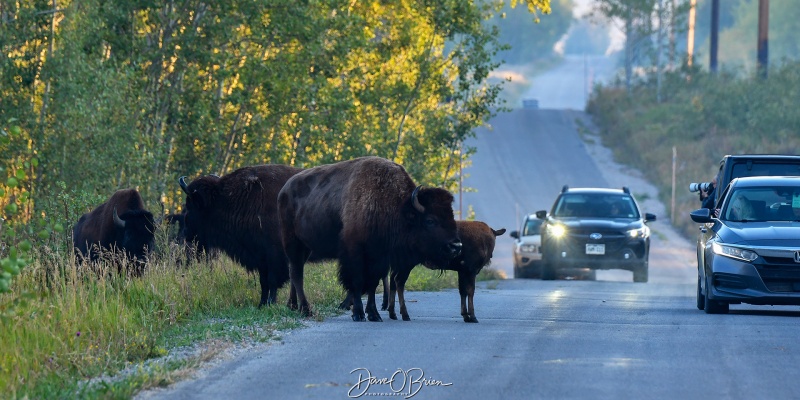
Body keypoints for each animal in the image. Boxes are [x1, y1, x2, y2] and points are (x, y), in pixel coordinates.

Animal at [179, 166, 304, 306]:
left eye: (190, 205)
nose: (185, 232)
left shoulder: (274, 256)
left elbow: (272, 280)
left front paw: (271, 302)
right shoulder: (260, 257)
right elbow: (263, 282)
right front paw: (262, 304)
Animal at [280, 156, 462, 322]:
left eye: (451, 216)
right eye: (430, 220)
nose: (456, 246)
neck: (394, 206)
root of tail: (285, 189)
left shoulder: (379, 257)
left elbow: (373, 283)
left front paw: (374, 314)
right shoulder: (355, 252)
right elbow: (358, 281)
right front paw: (358, 314)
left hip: (305, 248)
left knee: (294, 273)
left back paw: (293, 305)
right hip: (293, 243)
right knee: (297, 274)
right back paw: (306, 310)